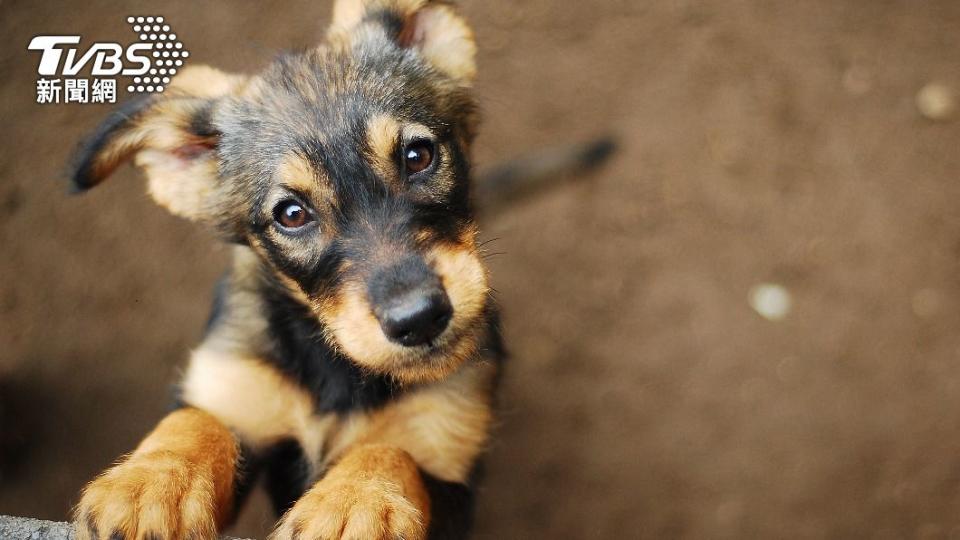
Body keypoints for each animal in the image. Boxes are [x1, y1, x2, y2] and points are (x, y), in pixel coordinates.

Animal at [69, 1, 502, 540]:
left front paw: (352, 503)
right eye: (292, 214)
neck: (337, 371)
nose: (419, 319)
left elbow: (387, 450)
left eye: (418, 156)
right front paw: (150, 483)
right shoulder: (235, 385)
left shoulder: (448, 464)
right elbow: (197, 421)